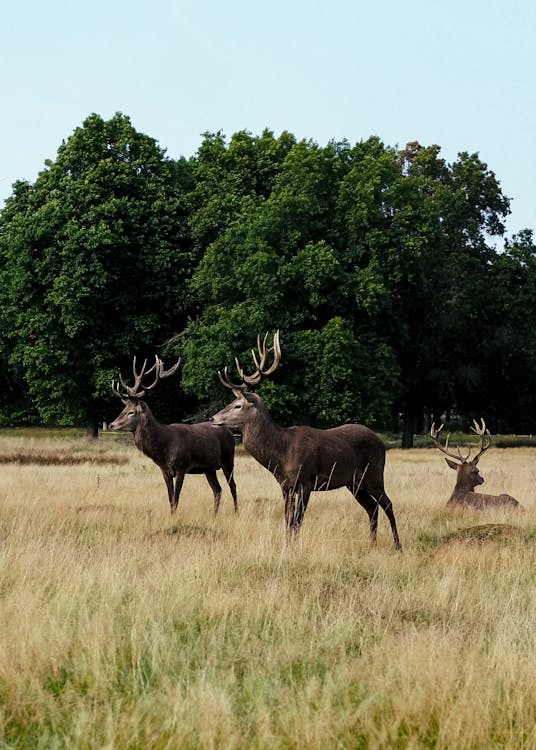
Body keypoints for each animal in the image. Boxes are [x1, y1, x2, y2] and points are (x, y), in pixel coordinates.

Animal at [109, 356, 239, 516]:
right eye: (123, 409)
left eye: (131, 412)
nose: (111, 425)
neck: (163, 449)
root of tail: (230, 433)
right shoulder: (164, 471)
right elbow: (170, 499)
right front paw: (171, 516)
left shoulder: (181, 467)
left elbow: (176, 498)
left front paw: (174, 517)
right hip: (209, 469)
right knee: (218, 490)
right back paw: (213, 516)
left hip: (228, 460)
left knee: (233, 487)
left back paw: (236, 513)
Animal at [211, 332, 400, 548]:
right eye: (232, 402)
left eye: (238, 405)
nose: (213, 418)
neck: (281, 454)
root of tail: (381, 443)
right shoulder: (285, 485)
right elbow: (288, 519)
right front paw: (287, 545)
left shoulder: (306, 480)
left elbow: (298, 520)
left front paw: (294, 546)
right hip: (354, 483)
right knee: (372, 508)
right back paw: (372, 543)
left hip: (375, 474)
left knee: (388, 504)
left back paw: (397, 545)